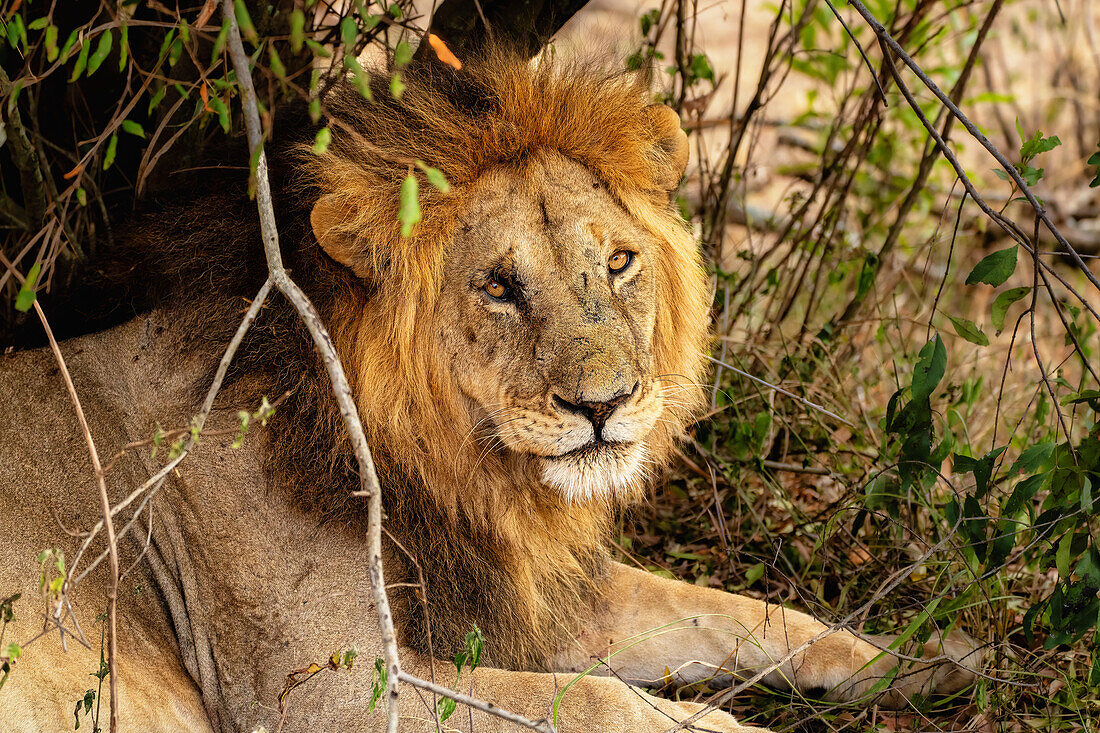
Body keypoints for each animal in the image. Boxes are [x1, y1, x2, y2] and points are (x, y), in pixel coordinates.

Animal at [0, 52, 981, 730]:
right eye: (499, 287)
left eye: (618, 262)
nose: (604, 404)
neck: (453, 471)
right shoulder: (329, 687)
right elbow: (594, 702)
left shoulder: (519, 594)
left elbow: (735, 612)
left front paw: (920, 660)